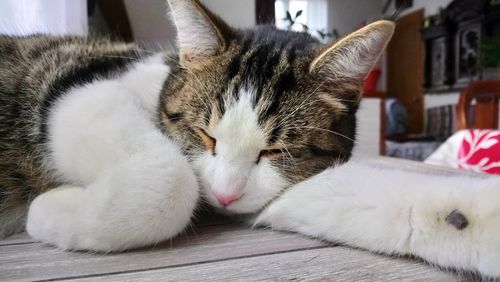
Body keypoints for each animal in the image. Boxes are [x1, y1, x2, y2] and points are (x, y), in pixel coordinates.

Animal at [0, 0, 498, 278]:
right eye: (205, 135)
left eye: (275, 151)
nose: (223, 195)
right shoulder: (76, 83)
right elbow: (172, 180)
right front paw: (47, 211)